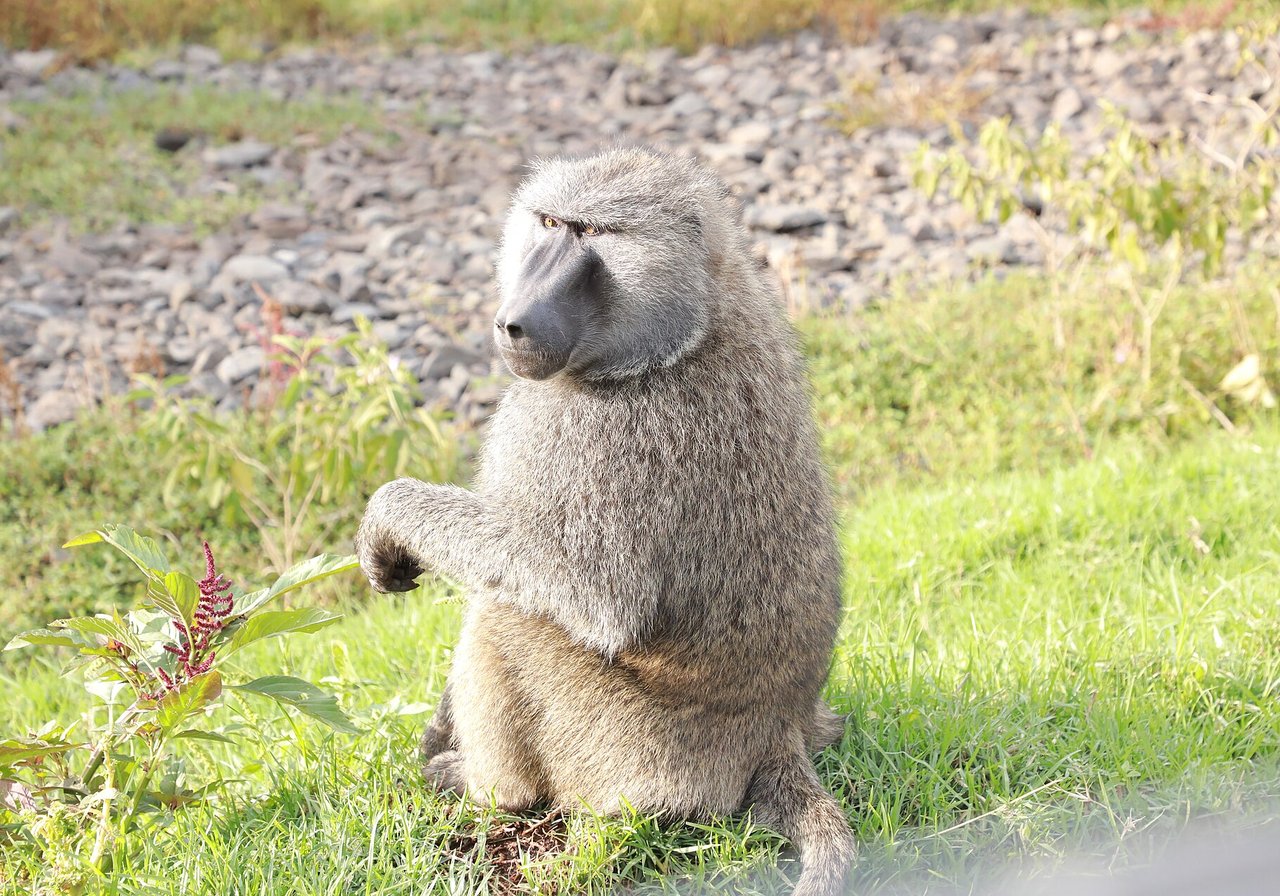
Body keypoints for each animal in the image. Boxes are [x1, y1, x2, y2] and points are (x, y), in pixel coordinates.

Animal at [356, 147, 854, 896]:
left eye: (594, 234)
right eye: (550, 222)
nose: (514, 322)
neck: (690, 327)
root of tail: (776, 737)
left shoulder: (609, 438)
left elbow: (588, 592)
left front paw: (390, 515)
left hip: (628, 753)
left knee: (506, 618)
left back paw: (488, 790)